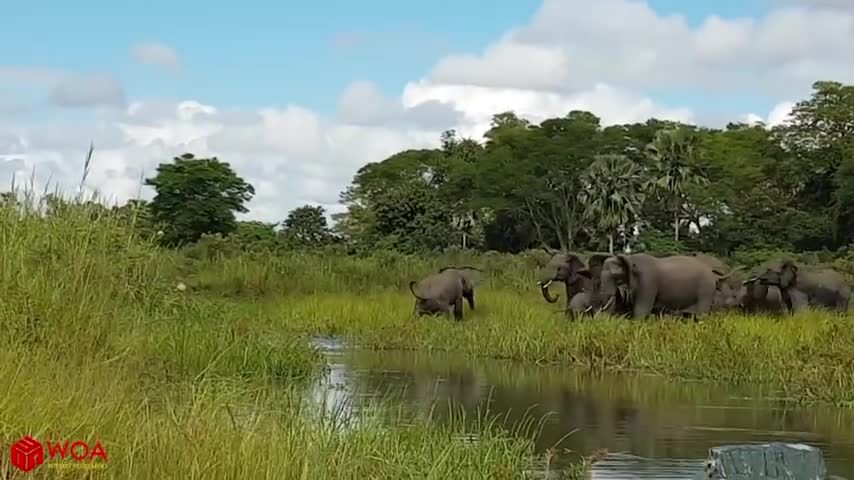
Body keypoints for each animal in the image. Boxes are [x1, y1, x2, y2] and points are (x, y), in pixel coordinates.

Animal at [600, 253, 732, 320]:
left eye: (615, 275)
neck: (629, 257)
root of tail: (714, 275)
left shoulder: (648, 281)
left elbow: (641, 310)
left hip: (705, 290)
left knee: (701, 315)